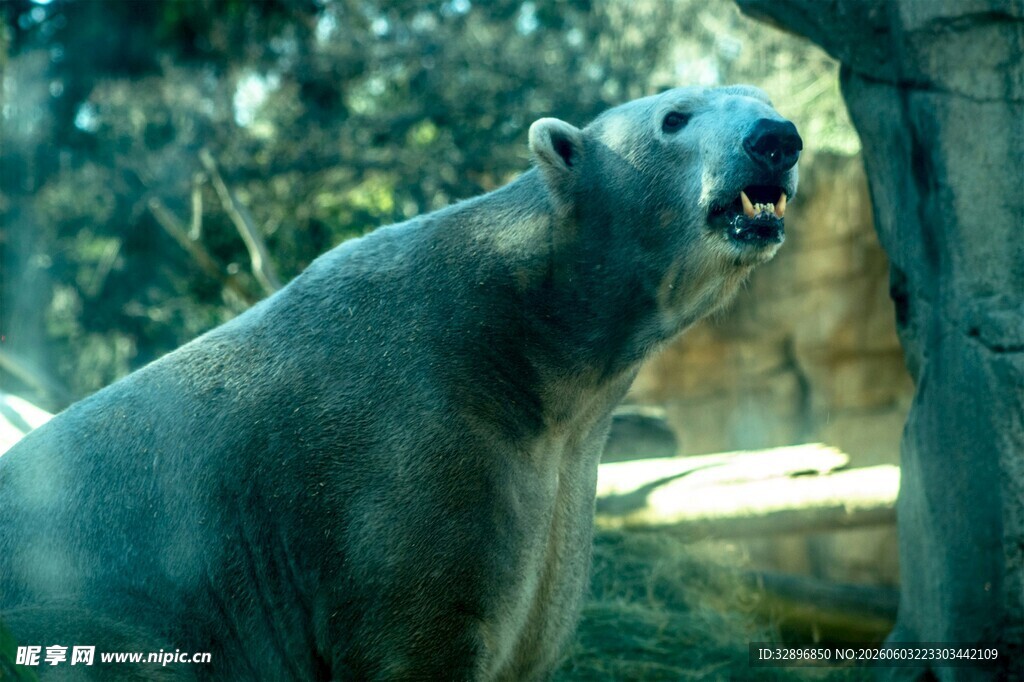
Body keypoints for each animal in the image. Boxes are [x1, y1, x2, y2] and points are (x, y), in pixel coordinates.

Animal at [0, 85, 801, 681]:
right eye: (675, 118)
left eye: (760, 96)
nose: (777, 137)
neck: (522, 341)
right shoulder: (404, 457)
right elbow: (422, 629)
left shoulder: (558, 474)